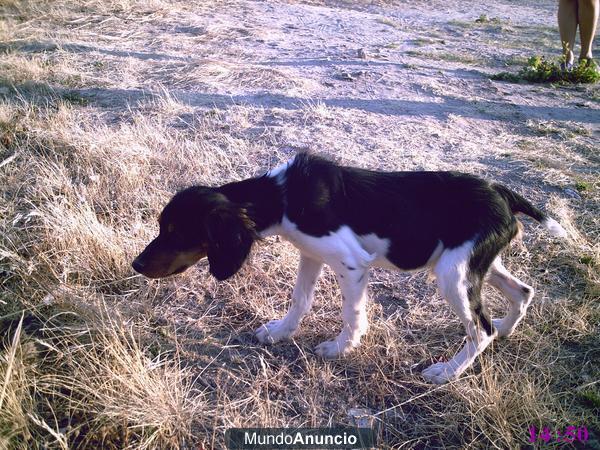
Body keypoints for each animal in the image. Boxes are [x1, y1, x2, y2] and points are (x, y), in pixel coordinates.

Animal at [132, 152, 568, 384]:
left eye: (174, 232)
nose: (136, 264)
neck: (283, 197)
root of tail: (503, 194)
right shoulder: (310, 255)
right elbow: (300, 300)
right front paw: (279, 332)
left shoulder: (351, 263)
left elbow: (352, 314)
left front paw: (340, 348)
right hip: (475, 265)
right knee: (521, 293)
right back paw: (507, 332)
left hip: (453, 275)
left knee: (481, 328)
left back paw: (447, 371)